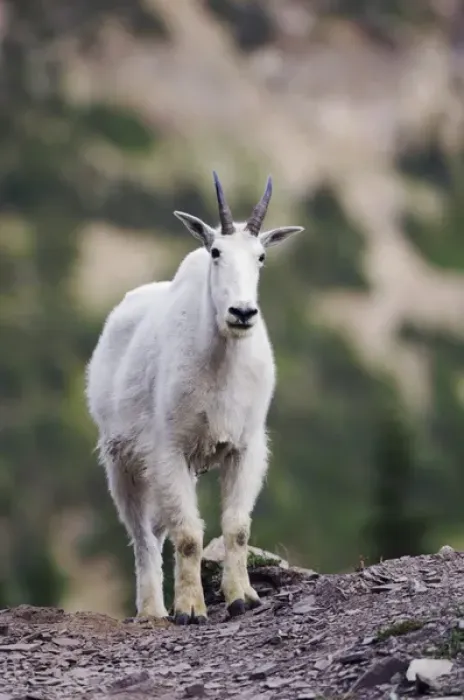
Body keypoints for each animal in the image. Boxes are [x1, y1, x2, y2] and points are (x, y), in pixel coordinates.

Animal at [85, 172, 304, 624]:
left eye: (261, 257)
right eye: (216, 252)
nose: (242, 312)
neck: (221, 361)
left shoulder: (244, 446)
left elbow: (236, 528)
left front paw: (242, 598)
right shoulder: (169, 448)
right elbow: (187, 535)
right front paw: (190, 609)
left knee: (157, 529)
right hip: (122, 459)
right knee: (143, 537)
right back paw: (153, 612)